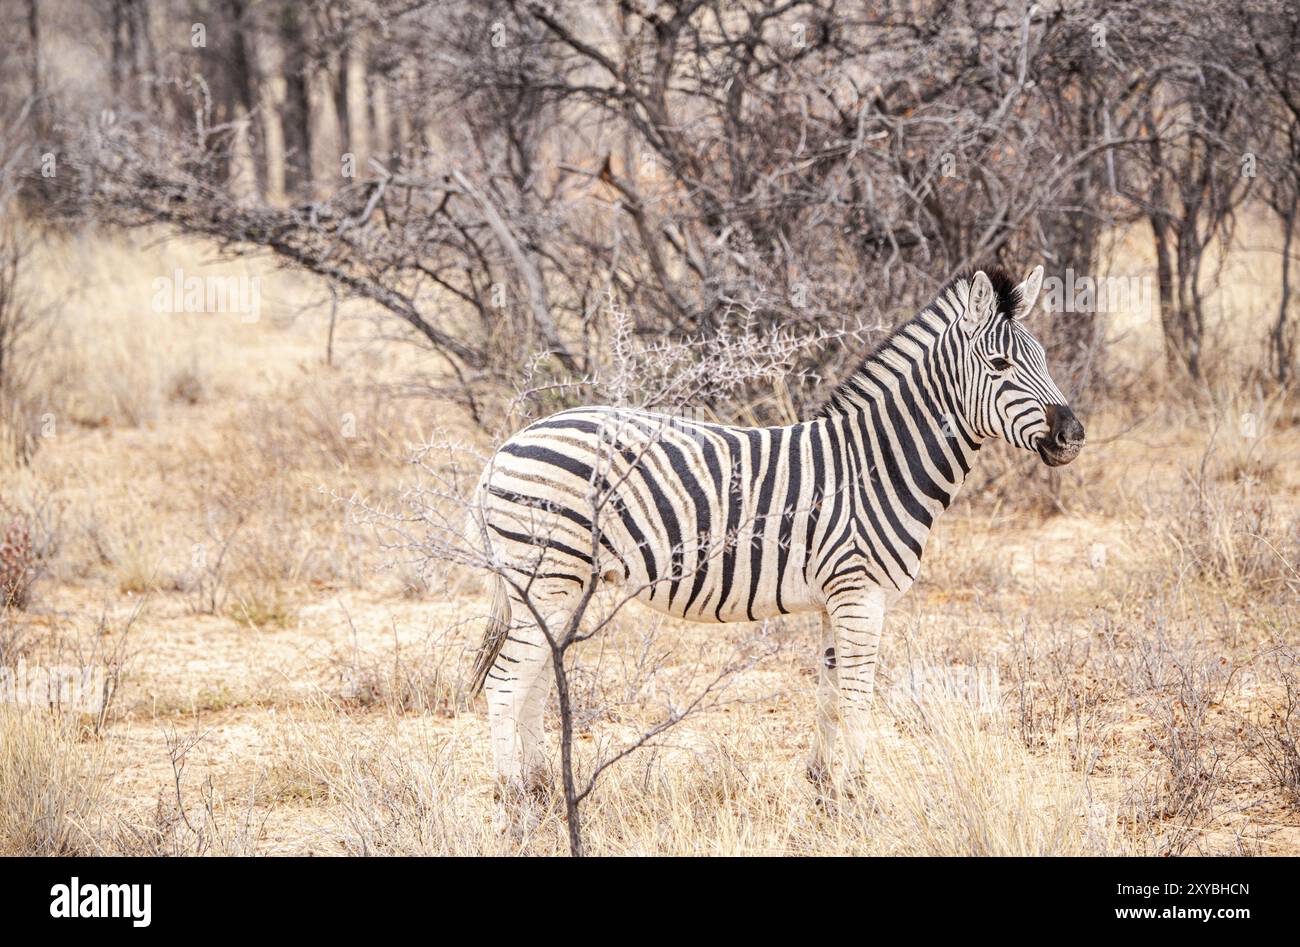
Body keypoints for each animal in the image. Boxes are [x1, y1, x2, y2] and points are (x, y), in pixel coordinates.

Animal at [467, 266, 1086, 790]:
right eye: (1000, 366)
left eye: (1044, 358)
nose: (1073, 435)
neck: (876, 465)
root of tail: (507, 446)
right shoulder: (860, 594)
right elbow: (858, 696)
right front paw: (859, 792)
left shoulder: (836, 599)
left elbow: (830, 693)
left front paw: (822, 786)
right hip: (546, 575)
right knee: (505, 684)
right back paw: (513, 797)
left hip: (560, 585)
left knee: (534, 679)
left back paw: (544, 785)